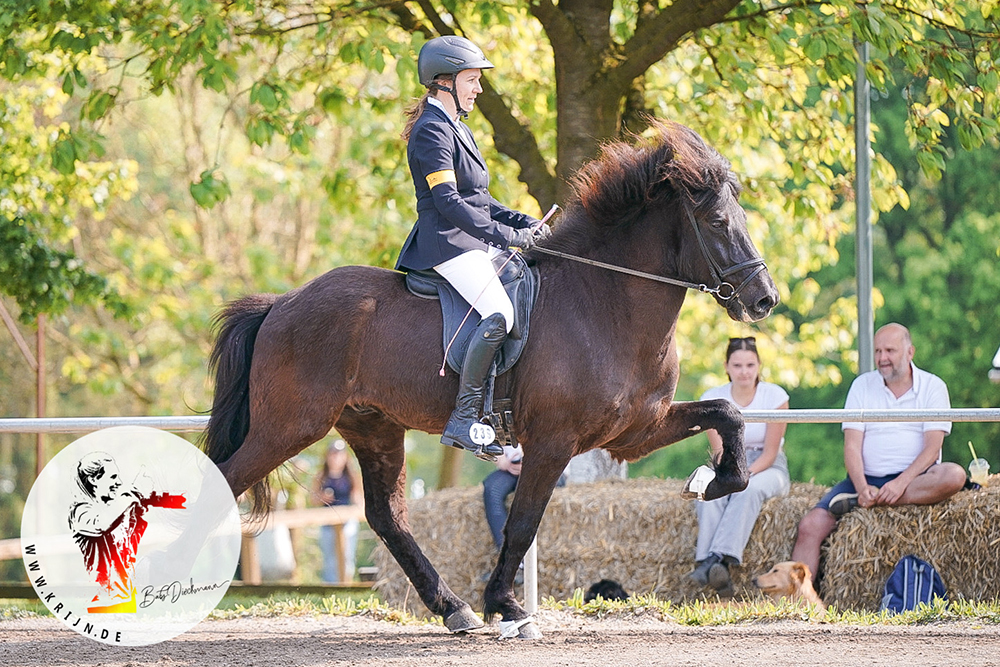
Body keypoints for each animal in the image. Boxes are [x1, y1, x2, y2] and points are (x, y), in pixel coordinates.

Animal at [203, 118, 780, 636]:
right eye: (719, 223)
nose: (764, 300)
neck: (604, 301)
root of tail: (281, 304)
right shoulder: (553, 441)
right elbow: (521, 525)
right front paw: (507, 606)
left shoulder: (635, 432)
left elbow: (727, 414)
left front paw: (710, 480)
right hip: (291, 426)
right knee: (226, 481)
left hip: (372, 426)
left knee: (387, 517)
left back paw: (452, 608)